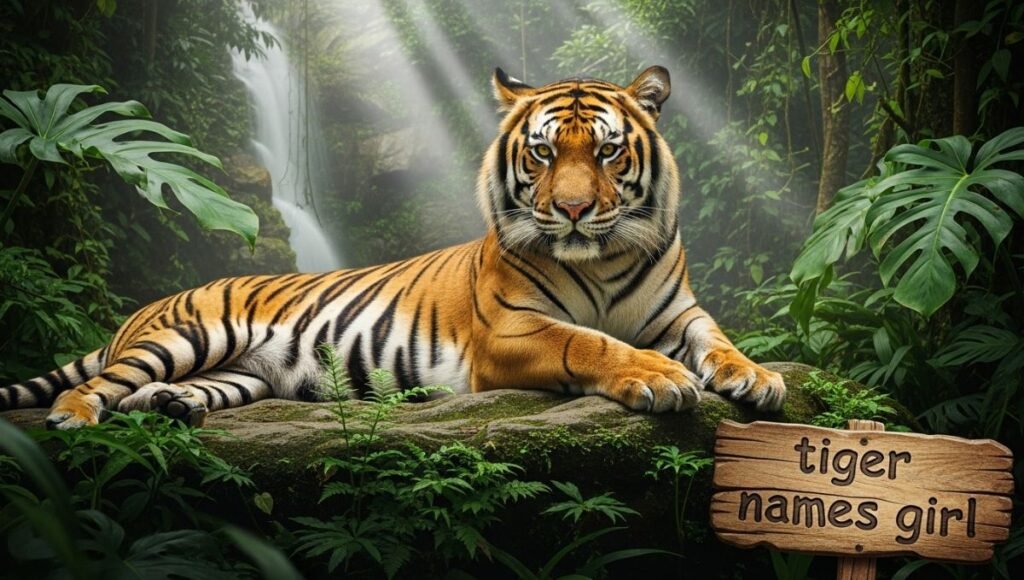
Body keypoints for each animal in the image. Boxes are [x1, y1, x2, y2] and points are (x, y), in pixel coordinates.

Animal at [1, 66, 786, 430]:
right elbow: (588, 342)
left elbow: (718, 340)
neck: (605, 255)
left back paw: (170, 407)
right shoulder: (510, 331)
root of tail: (144, 309)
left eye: (606, 152)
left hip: (241, 374)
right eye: (540, 154)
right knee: (97, 383)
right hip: (186, 336)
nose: (570, 210)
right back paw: (74, 418)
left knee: (164, 391)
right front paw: (659, 377)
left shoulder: (678, 314)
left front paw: (757, 377)